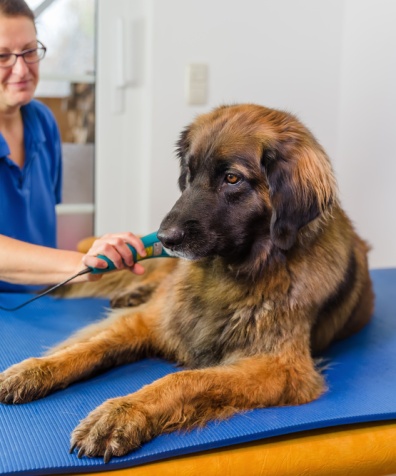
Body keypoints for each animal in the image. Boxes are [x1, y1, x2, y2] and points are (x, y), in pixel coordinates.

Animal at [0, 103, 374, 462]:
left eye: (232, 178)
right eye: (189, 176)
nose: (165, 238)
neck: (230, 272)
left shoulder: (280, 369)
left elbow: (186, 378)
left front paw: (122, 413)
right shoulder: (153, 321)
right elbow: (90, 347)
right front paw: (34, 371)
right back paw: (133, 292)